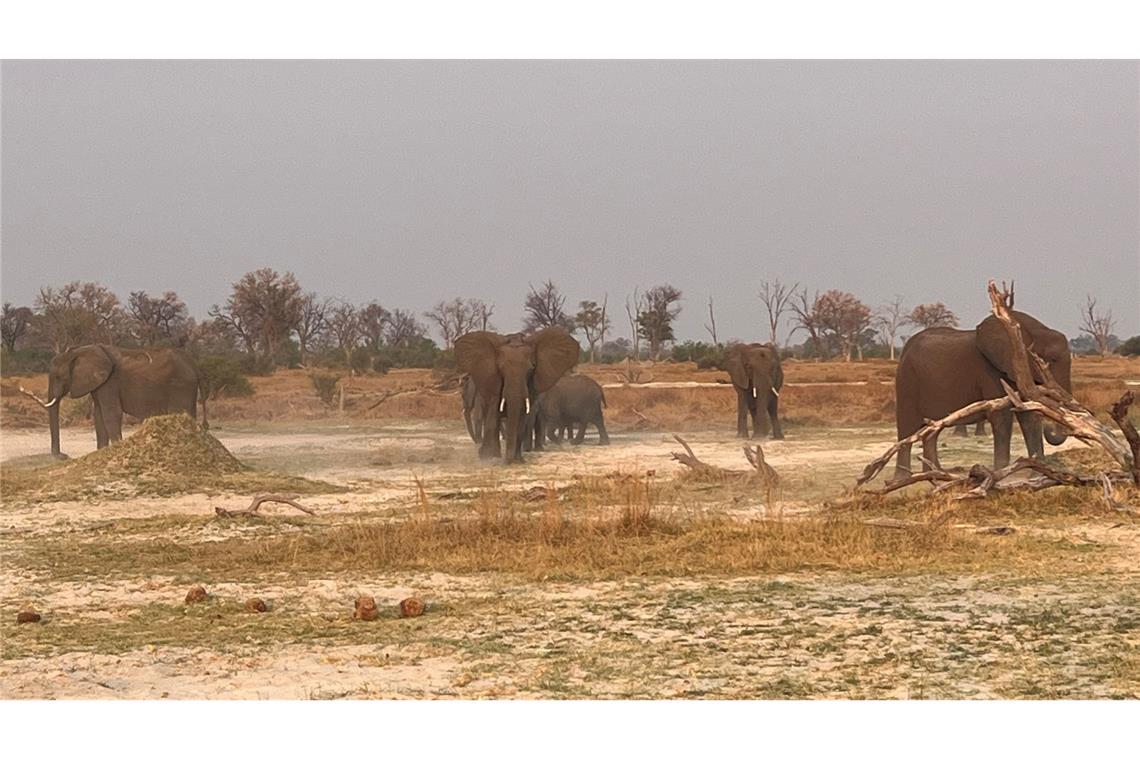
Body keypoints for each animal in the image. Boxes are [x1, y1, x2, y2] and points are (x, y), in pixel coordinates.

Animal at [30, 344, 200, 458]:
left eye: (59, 377)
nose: (63, 456)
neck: (79, 351)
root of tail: (194, 364)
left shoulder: (110, 382)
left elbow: (111, 414)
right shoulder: (99, 383)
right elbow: (98, 415)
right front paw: (101, 452)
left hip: (180, 387)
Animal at [453, 328, 579, 464]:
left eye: (531, 369)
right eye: (500, 368)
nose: (508, 461)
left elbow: (521, 420)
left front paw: (518, 461)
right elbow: (493, 416)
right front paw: (488, 457)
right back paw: (492, 455)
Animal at [893, 309, 1071, 480]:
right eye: (1052, 360)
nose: (1049, 427)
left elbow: (1028, 415)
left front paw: (1037, 475)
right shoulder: (990, 372)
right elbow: (1001, 416)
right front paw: (999, 475)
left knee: (933, 430)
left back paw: (935, 474)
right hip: (906, 380)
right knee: (907, 425)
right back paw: (903, 478)